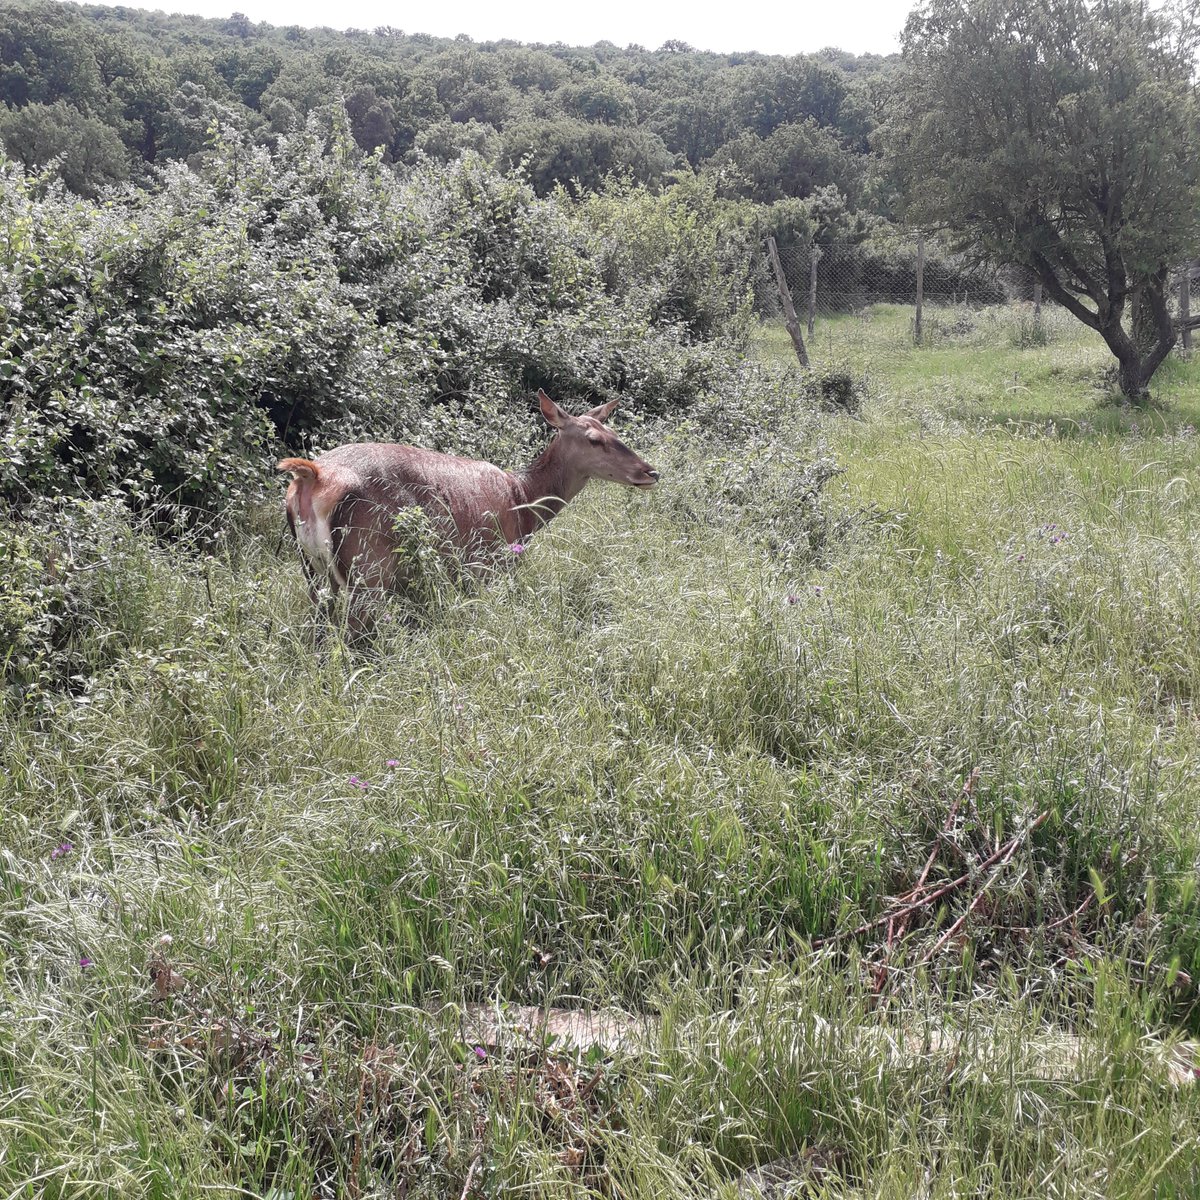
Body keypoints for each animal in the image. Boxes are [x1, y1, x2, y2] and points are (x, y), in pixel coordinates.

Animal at [277, 390, 661, 637]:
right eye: (594, 439)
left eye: (614, 431)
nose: (650, 472)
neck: (523, 503)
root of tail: (313, 477)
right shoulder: (489, 562)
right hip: (368, 563)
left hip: (312, 569)